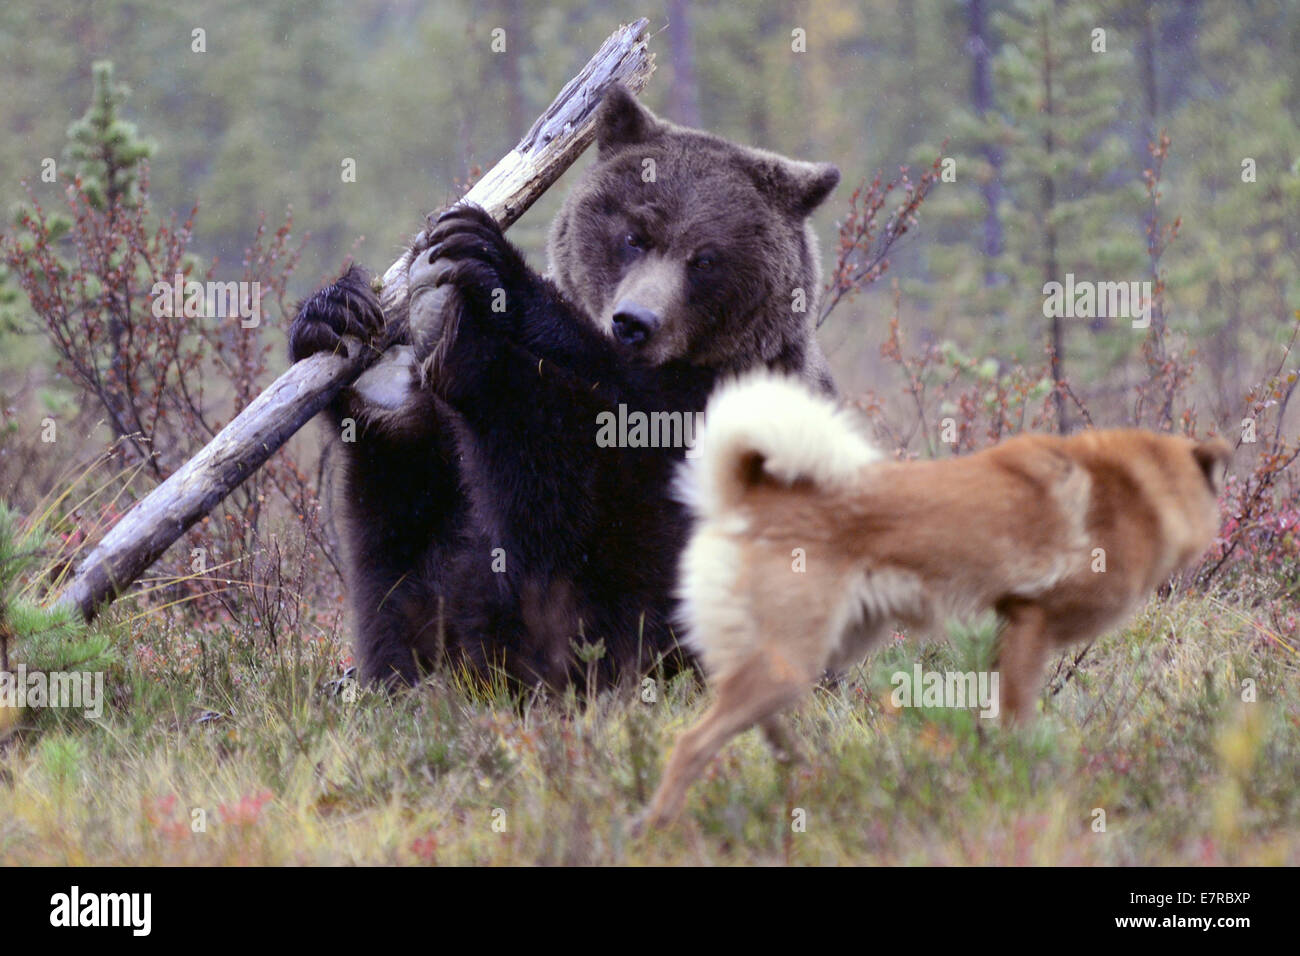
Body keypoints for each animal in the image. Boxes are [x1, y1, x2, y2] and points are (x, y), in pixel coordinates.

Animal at [289, 83, 841, 689]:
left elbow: (576, 520)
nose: (634, 321)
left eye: (705, 258)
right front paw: (336, 313)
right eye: (634, 236)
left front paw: (493, 271)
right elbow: (412, 505)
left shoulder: (709, 424)